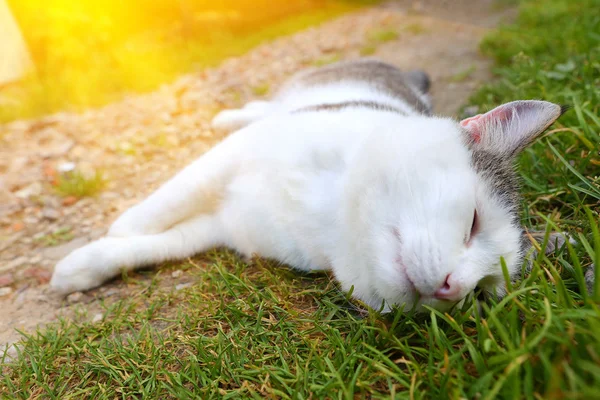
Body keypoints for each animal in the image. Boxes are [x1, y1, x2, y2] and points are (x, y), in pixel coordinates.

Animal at [50, 59, 568, 312]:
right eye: (473, 222)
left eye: (483, 291)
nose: (451, 288)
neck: (327, 216)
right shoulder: (233, 156)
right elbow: (165, 202)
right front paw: (120, 228)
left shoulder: (222, 226)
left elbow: (160, 245)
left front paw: (86, 267)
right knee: (258, 110)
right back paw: (226, 115)